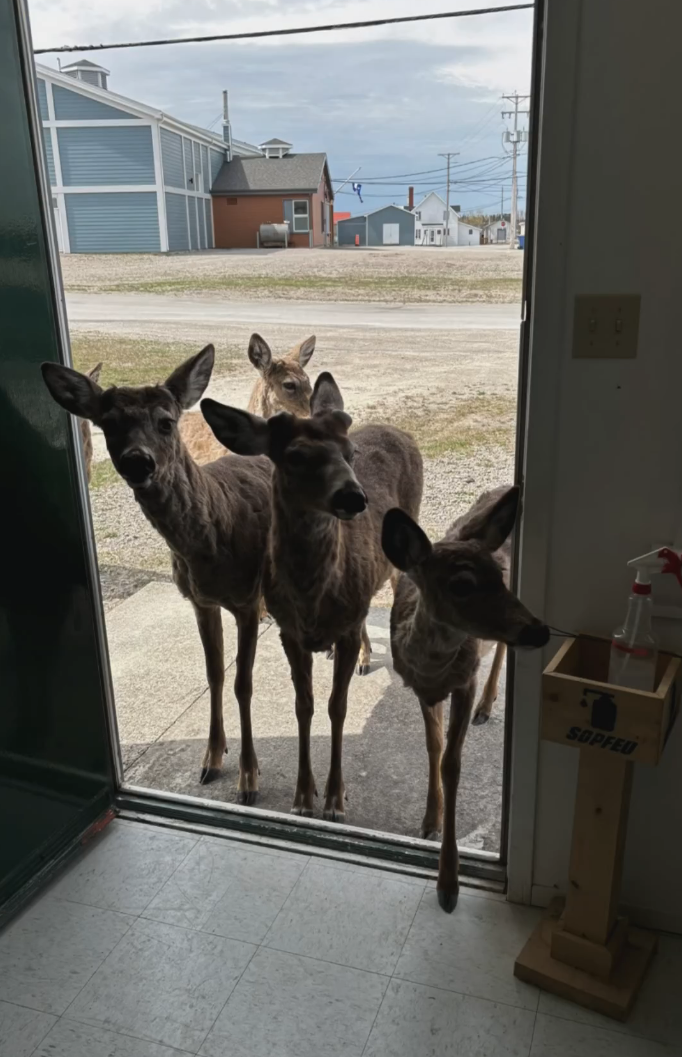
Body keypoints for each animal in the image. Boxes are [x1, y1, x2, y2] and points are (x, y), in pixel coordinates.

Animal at [41, 346, 277, 799]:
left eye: (167, 422)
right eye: (108, 424)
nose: (138, 461)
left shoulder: (243, 599)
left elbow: (243, 683)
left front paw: (250, 778)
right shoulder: (200, 602)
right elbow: (214, 674)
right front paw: (211, 760)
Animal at [200, 376, 425, 820]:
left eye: (350, 453)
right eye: (296, 455)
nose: (354, 497)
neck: (312, 599)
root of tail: (399, 430)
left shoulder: (344, 626)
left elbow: (337, 707)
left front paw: (335, 800)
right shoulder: (289, 632)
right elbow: (303, 705)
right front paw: (304, 797)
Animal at [380, 484, 549, 909]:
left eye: (499, 576)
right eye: (461, 585)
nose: (540, 631)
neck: (433, 667)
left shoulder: (464, 681)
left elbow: (452, 764)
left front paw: (448, 883)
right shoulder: (423, 690)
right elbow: (433, 747)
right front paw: (429, 821)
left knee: (502, 648)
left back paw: (488, 705)